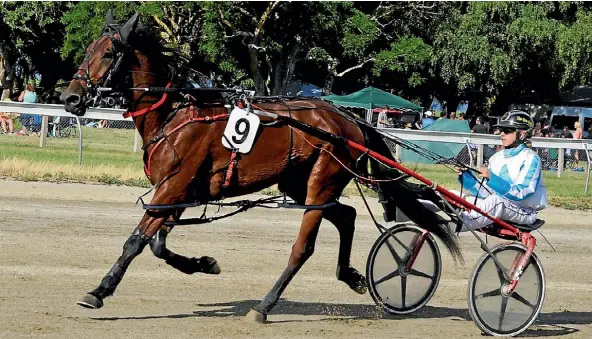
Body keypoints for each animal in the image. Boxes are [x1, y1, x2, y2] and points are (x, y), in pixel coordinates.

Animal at [60, 11, 460, 324]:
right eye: (87, 50)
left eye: (108, 53)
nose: (70, 98)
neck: (175, 116)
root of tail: (348, 118)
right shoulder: (178, 192)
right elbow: (158, 244)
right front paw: (204, 263)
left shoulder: (173, 187)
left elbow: (136, 241)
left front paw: (98, 291)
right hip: (298, 183)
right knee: (346, 215)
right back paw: (351, 276)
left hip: (321, 180)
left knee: (304, 247)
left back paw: (265, 306)